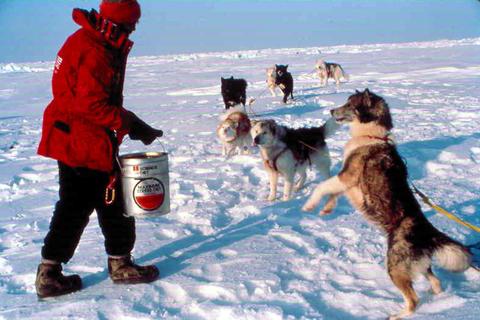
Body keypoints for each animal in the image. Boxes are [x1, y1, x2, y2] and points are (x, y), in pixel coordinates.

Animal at [302, 89, 474, 318]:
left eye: (349, 105)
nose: (331, 110)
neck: (370, 136)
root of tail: (427, 231)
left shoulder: (347, 177)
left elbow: (321, 187)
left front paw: (309, 205)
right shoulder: (346, 183)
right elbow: (332, 194)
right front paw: (327, 209)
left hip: (395, 267)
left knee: (413, 300)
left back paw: (398, 315)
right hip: (419, 265)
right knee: (436, 282)